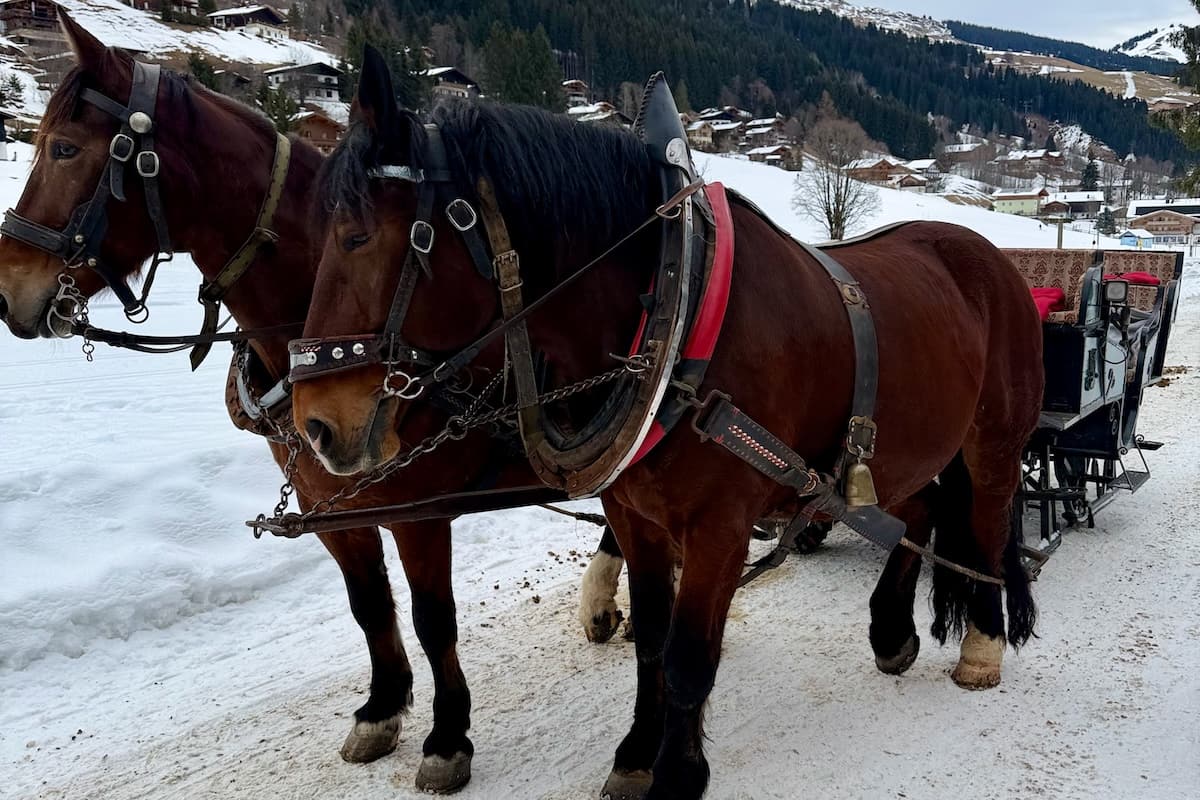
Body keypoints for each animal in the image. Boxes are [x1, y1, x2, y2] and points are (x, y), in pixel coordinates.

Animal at [0, 15, 622, 793]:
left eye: (63, 147)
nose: (8, 290)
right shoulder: (327, 502)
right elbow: (368, 604)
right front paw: (382, 707)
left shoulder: (417, 510)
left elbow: (433, 619)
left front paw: (448, 736)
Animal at [290, 48, 1042, 799]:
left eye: (357, 236)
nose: (315, 425)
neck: (673, 311)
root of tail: (990, 258)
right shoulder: (634, 512)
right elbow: (651, 639)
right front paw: (636, 753)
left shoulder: (720, 525)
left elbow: (687, 657)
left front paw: (678, 775)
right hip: (894, 456)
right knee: (921, 511)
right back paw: (891, 631)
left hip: (994, 444)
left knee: (985, 523)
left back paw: (982, 646)